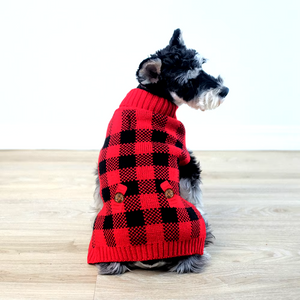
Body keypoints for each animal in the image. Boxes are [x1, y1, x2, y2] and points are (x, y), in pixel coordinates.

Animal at [88, 28, 229, 274]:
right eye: (188, 81)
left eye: (202, 67)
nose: (225, 91)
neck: (152, 98)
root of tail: (148, 255)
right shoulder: (187, 161)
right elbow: (195, 194)